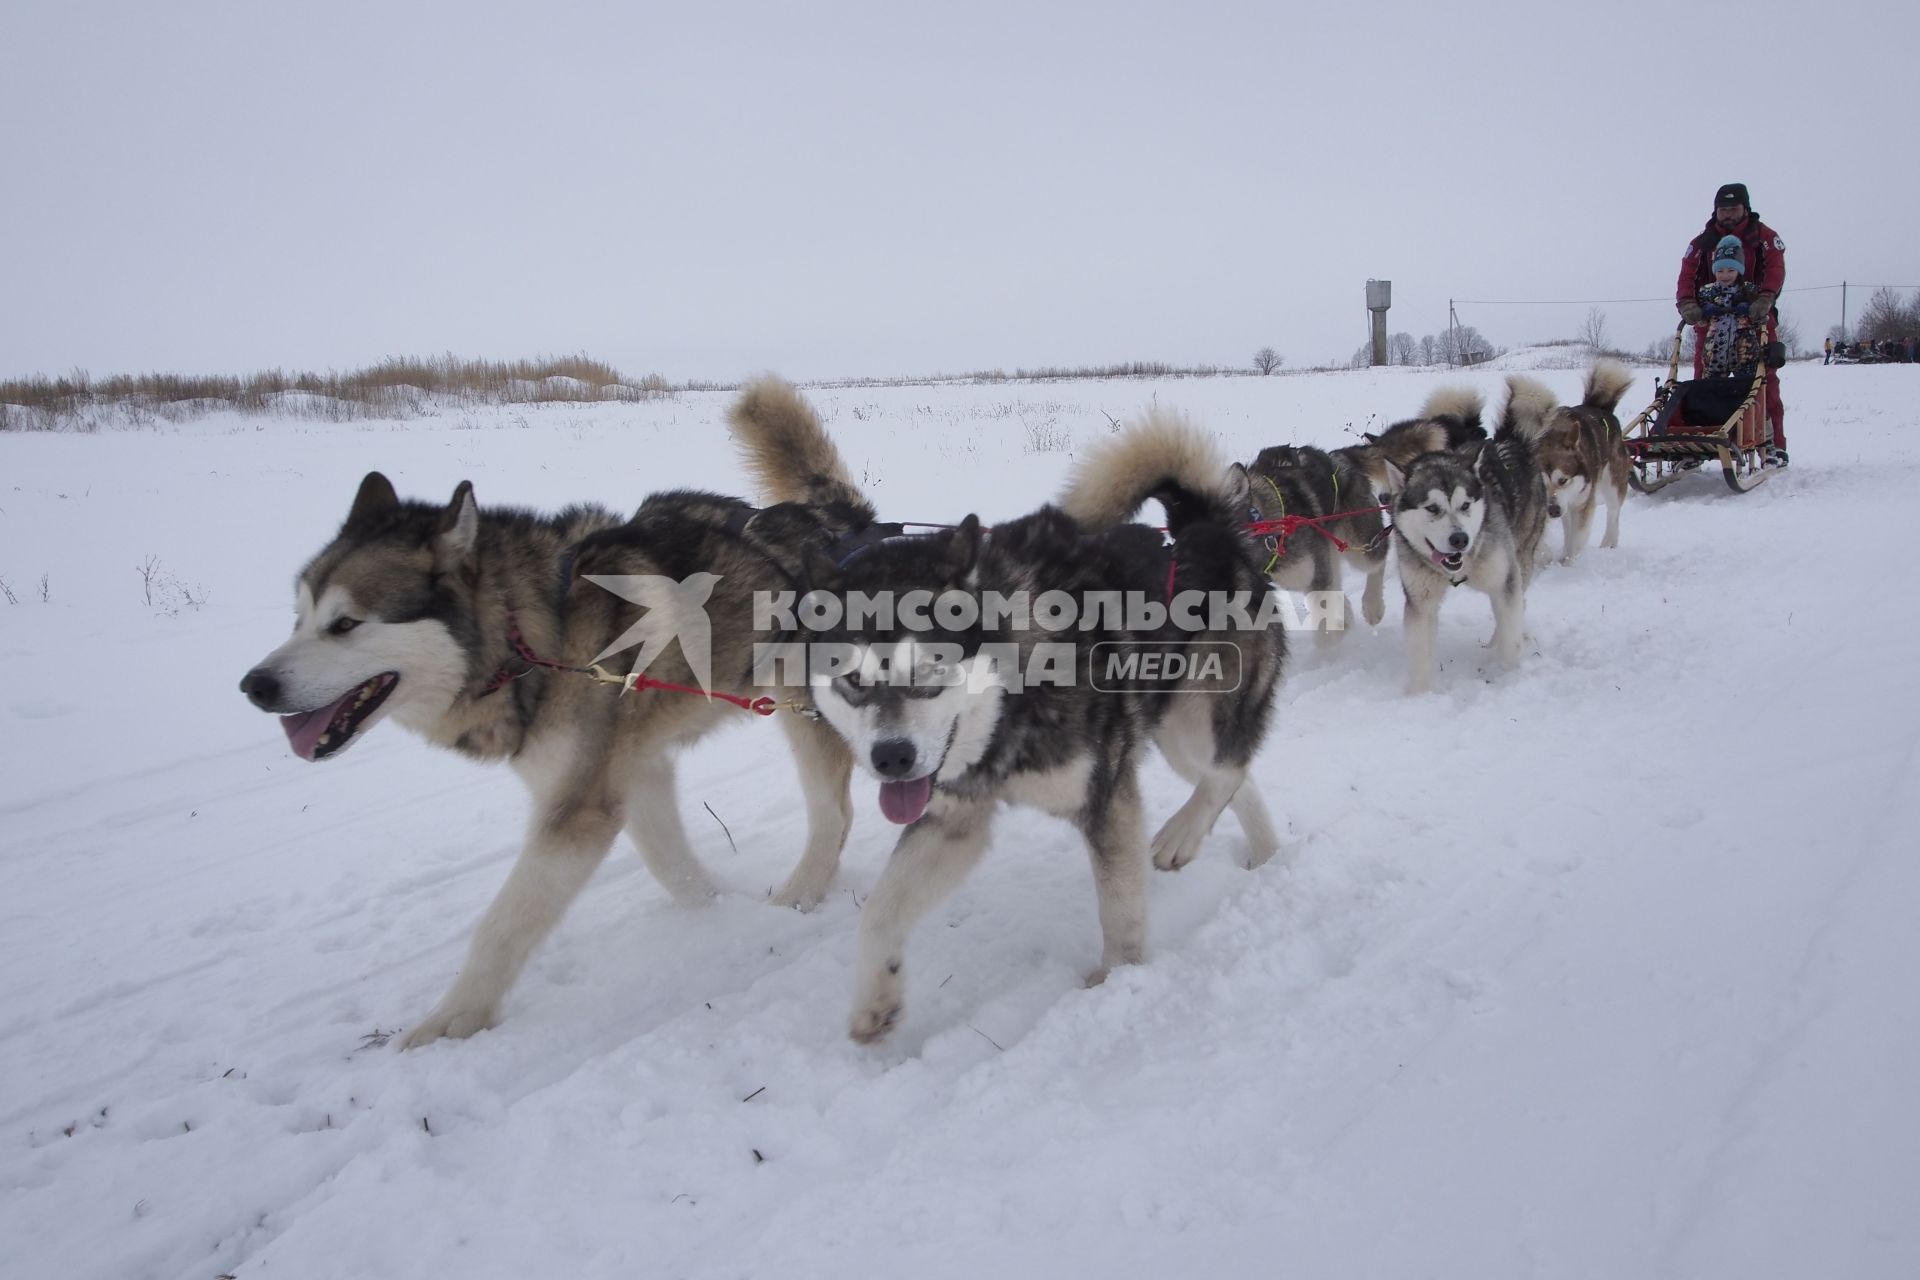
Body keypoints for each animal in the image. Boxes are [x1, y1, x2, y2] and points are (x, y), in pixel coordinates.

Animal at [240, 395, 864, 1043]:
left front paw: (451, 1022)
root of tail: (841, 524)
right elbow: (673, 865)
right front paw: (721, 910)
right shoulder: (629, 773)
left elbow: (503, 924)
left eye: (345, 624)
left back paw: (801, 894)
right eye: (299, 617)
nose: (255, 685)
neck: (529, 635)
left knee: (834, 814)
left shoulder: (579, 809)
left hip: (810, 712)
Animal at [741, 404, 1282, 1043]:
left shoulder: (1105, 797)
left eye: (933, 667)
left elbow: (1121, 909)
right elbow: (880, 909)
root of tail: (1205, 525)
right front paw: (876, 998)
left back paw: (1182, 835)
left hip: (1196, 715)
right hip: (1174, 730)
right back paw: (1268, 856)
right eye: (854, 680)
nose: (891, 759)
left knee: (1229, 767)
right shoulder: (953, 818)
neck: (1012, 700)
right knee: (1234, 777)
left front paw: (1118, 981)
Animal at [1390, 376, 1551, 694]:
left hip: (1521, 555)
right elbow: (1420, 653)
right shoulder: (1420, 601)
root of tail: (1508, 439)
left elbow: (1511, 635)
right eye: (1432, 508)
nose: (1460, 539)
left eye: (1465, 505)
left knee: (1517, 605)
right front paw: (1419, 696)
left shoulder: (1503, 580)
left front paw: (1507, 674)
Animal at [1536, 358, 1628, 564]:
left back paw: (1609, 542)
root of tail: (1601, 408)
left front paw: (1569, 562)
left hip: (1612, 483)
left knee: (1613, 514)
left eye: (1563, 480)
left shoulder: (1582, 504)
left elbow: (1577, 539)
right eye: (1541, 484)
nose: (1553, 510)